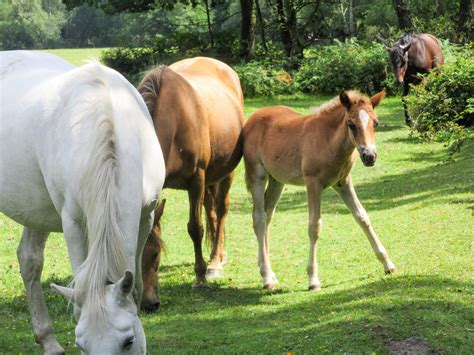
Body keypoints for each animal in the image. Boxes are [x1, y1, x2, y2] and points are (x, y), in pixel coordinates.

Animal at [0, 51, 166, 354]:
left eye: (128, 341)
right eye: (81, 344)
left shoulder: (145, 217)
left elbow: (135, 287)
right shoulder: (73, 222)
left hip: (36, 211)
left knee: (29, 259)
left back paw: (48, 340)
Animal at [138, 55, 244, 312]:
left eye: (155, 254)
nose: (148, 304)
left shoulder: (196, 179)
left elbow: (195, 228)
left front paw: (200, 277)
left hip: (225, 173)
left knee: (221, 210)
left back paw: (215, 261)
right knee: (212, 210)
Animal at [244, 89, 396, 292]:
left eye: (376, 122)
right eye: (351, 124)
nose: (369, 156)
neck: (328, 140)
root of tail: (252, 118)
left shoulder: (343, 182)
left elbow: (362, 217)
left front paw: (388, 264)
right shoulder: (313, 183)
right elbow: (314, 226)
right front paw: (313, 279)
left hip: (277, 180)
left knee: (267, 215)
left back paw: (268, 271)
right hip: (257, 176)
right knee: (259, 218)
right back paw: (267, 278)